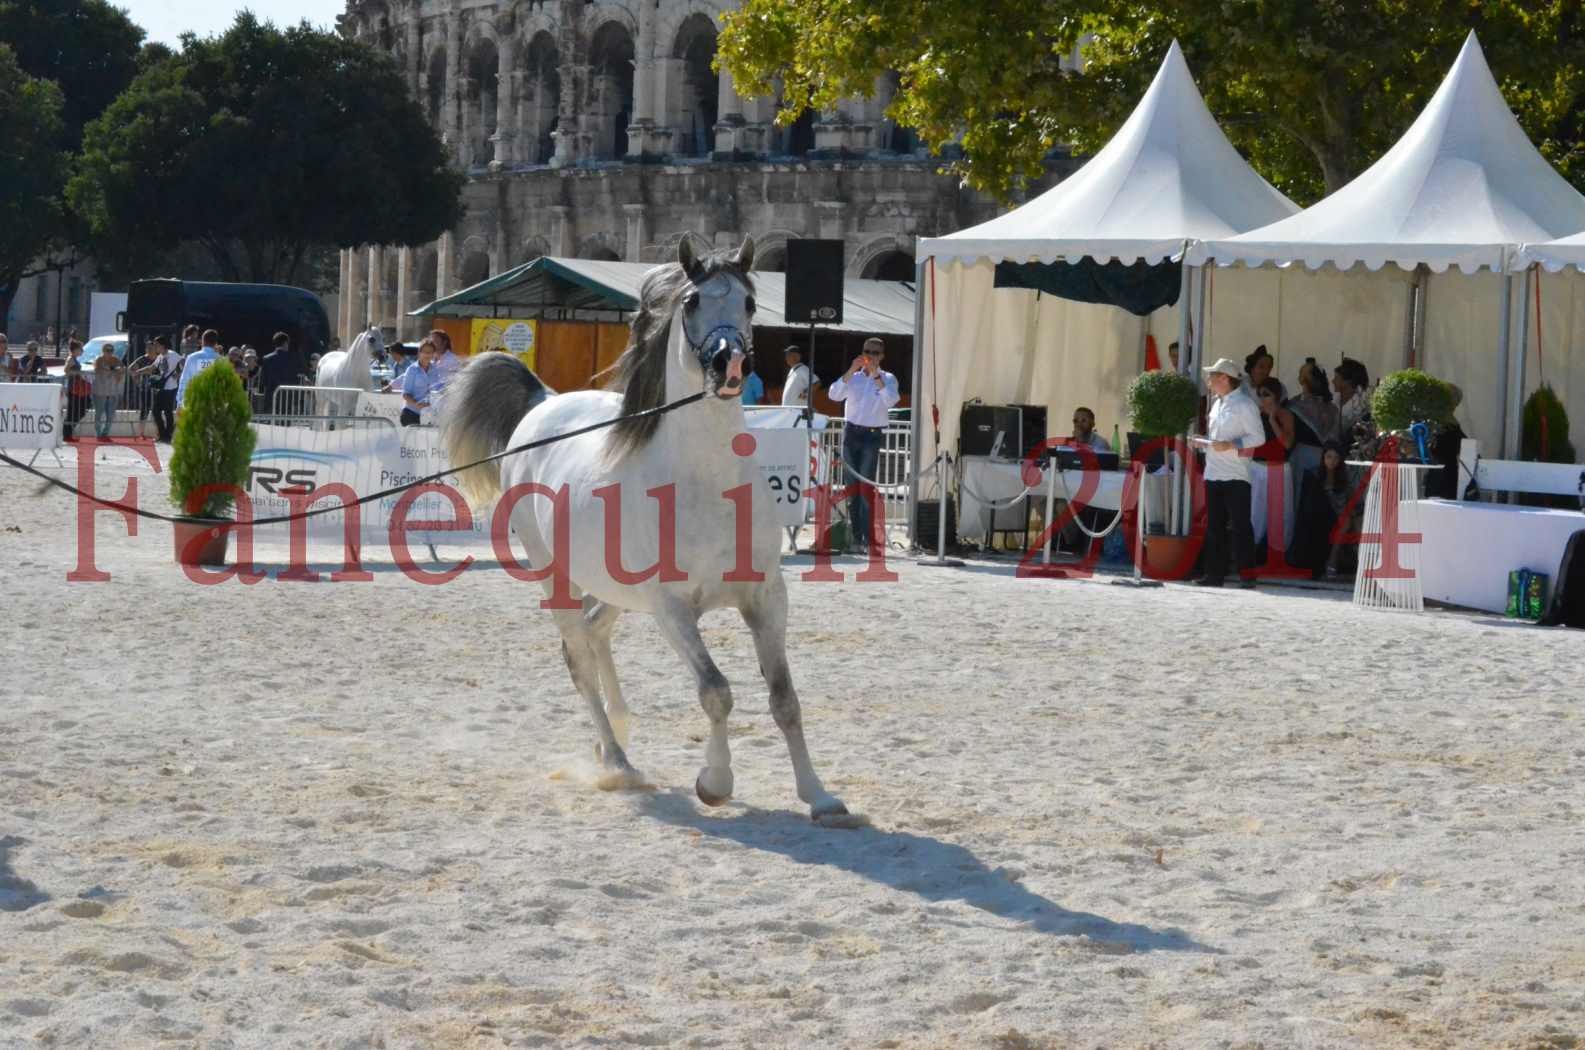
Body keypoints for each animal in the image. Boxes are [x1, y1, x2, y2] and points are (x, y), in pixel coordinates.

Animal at [440, 236, 849, 824]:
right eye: (693, 301)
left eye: (749, 303)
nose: (730, 364)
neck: (706, 482)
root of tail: (543, 403)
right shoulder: (671, 608)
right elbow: (716, 691)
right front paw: (715, 782)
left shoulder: (767, 598)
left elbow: (784, 699)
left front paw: (819, 796)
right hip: (555, 575)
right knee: (577, 656)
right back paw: (617, 760)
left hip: (616, 589)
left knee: (595, 633)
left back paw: (615, 734)